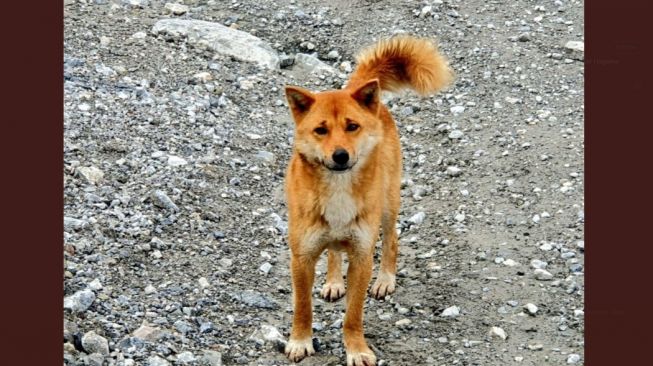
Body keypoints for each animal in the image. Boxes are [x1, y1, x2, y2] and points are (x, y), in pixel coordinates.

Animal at [280, 35, 454, 366]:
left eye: (352, 126)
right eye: (320, 130)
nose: (340, 155)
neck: (338, 188)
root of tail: (355, 88)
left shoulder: (362, 256)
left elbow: (353, 314)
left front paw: (356, 349)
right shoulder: (301, 257)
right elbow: (302, 307)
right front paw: (300, 341)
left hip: (387, 205)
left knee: (392, 242)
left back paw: (385, 279)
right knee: (334, 252)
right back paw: (334, 281)